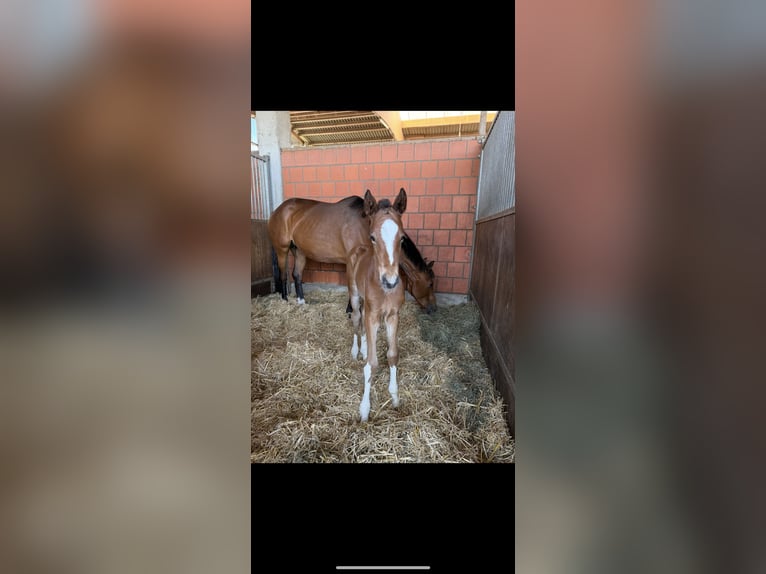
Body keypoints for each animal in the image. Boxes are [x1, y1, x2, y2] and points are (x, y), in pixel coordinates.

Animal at [267, 190, 437, 313]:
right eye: (430, 283)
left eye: (401, 236)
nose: (433, 308)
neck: (364, 226)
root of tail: (278, 210)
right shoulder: (351, 261)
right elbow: (352, 285)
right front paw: (351, 310)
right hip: (282, 249)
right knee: (283, 274)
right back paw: (284, 300)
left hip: (300, 251)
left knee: (297, 274)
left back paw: (301, 301)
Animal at [348, 189, 407, 422]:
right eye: (373, 236)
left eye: (402, 238)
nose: (390, 281)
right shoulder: (372, 315)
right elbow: (372, 364)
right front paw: (364, 409)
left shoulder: (393, 315)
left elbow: (392, 355)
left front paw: (395, 397)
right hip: (355, 296)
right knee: (357, 320)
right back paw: (356, 351)